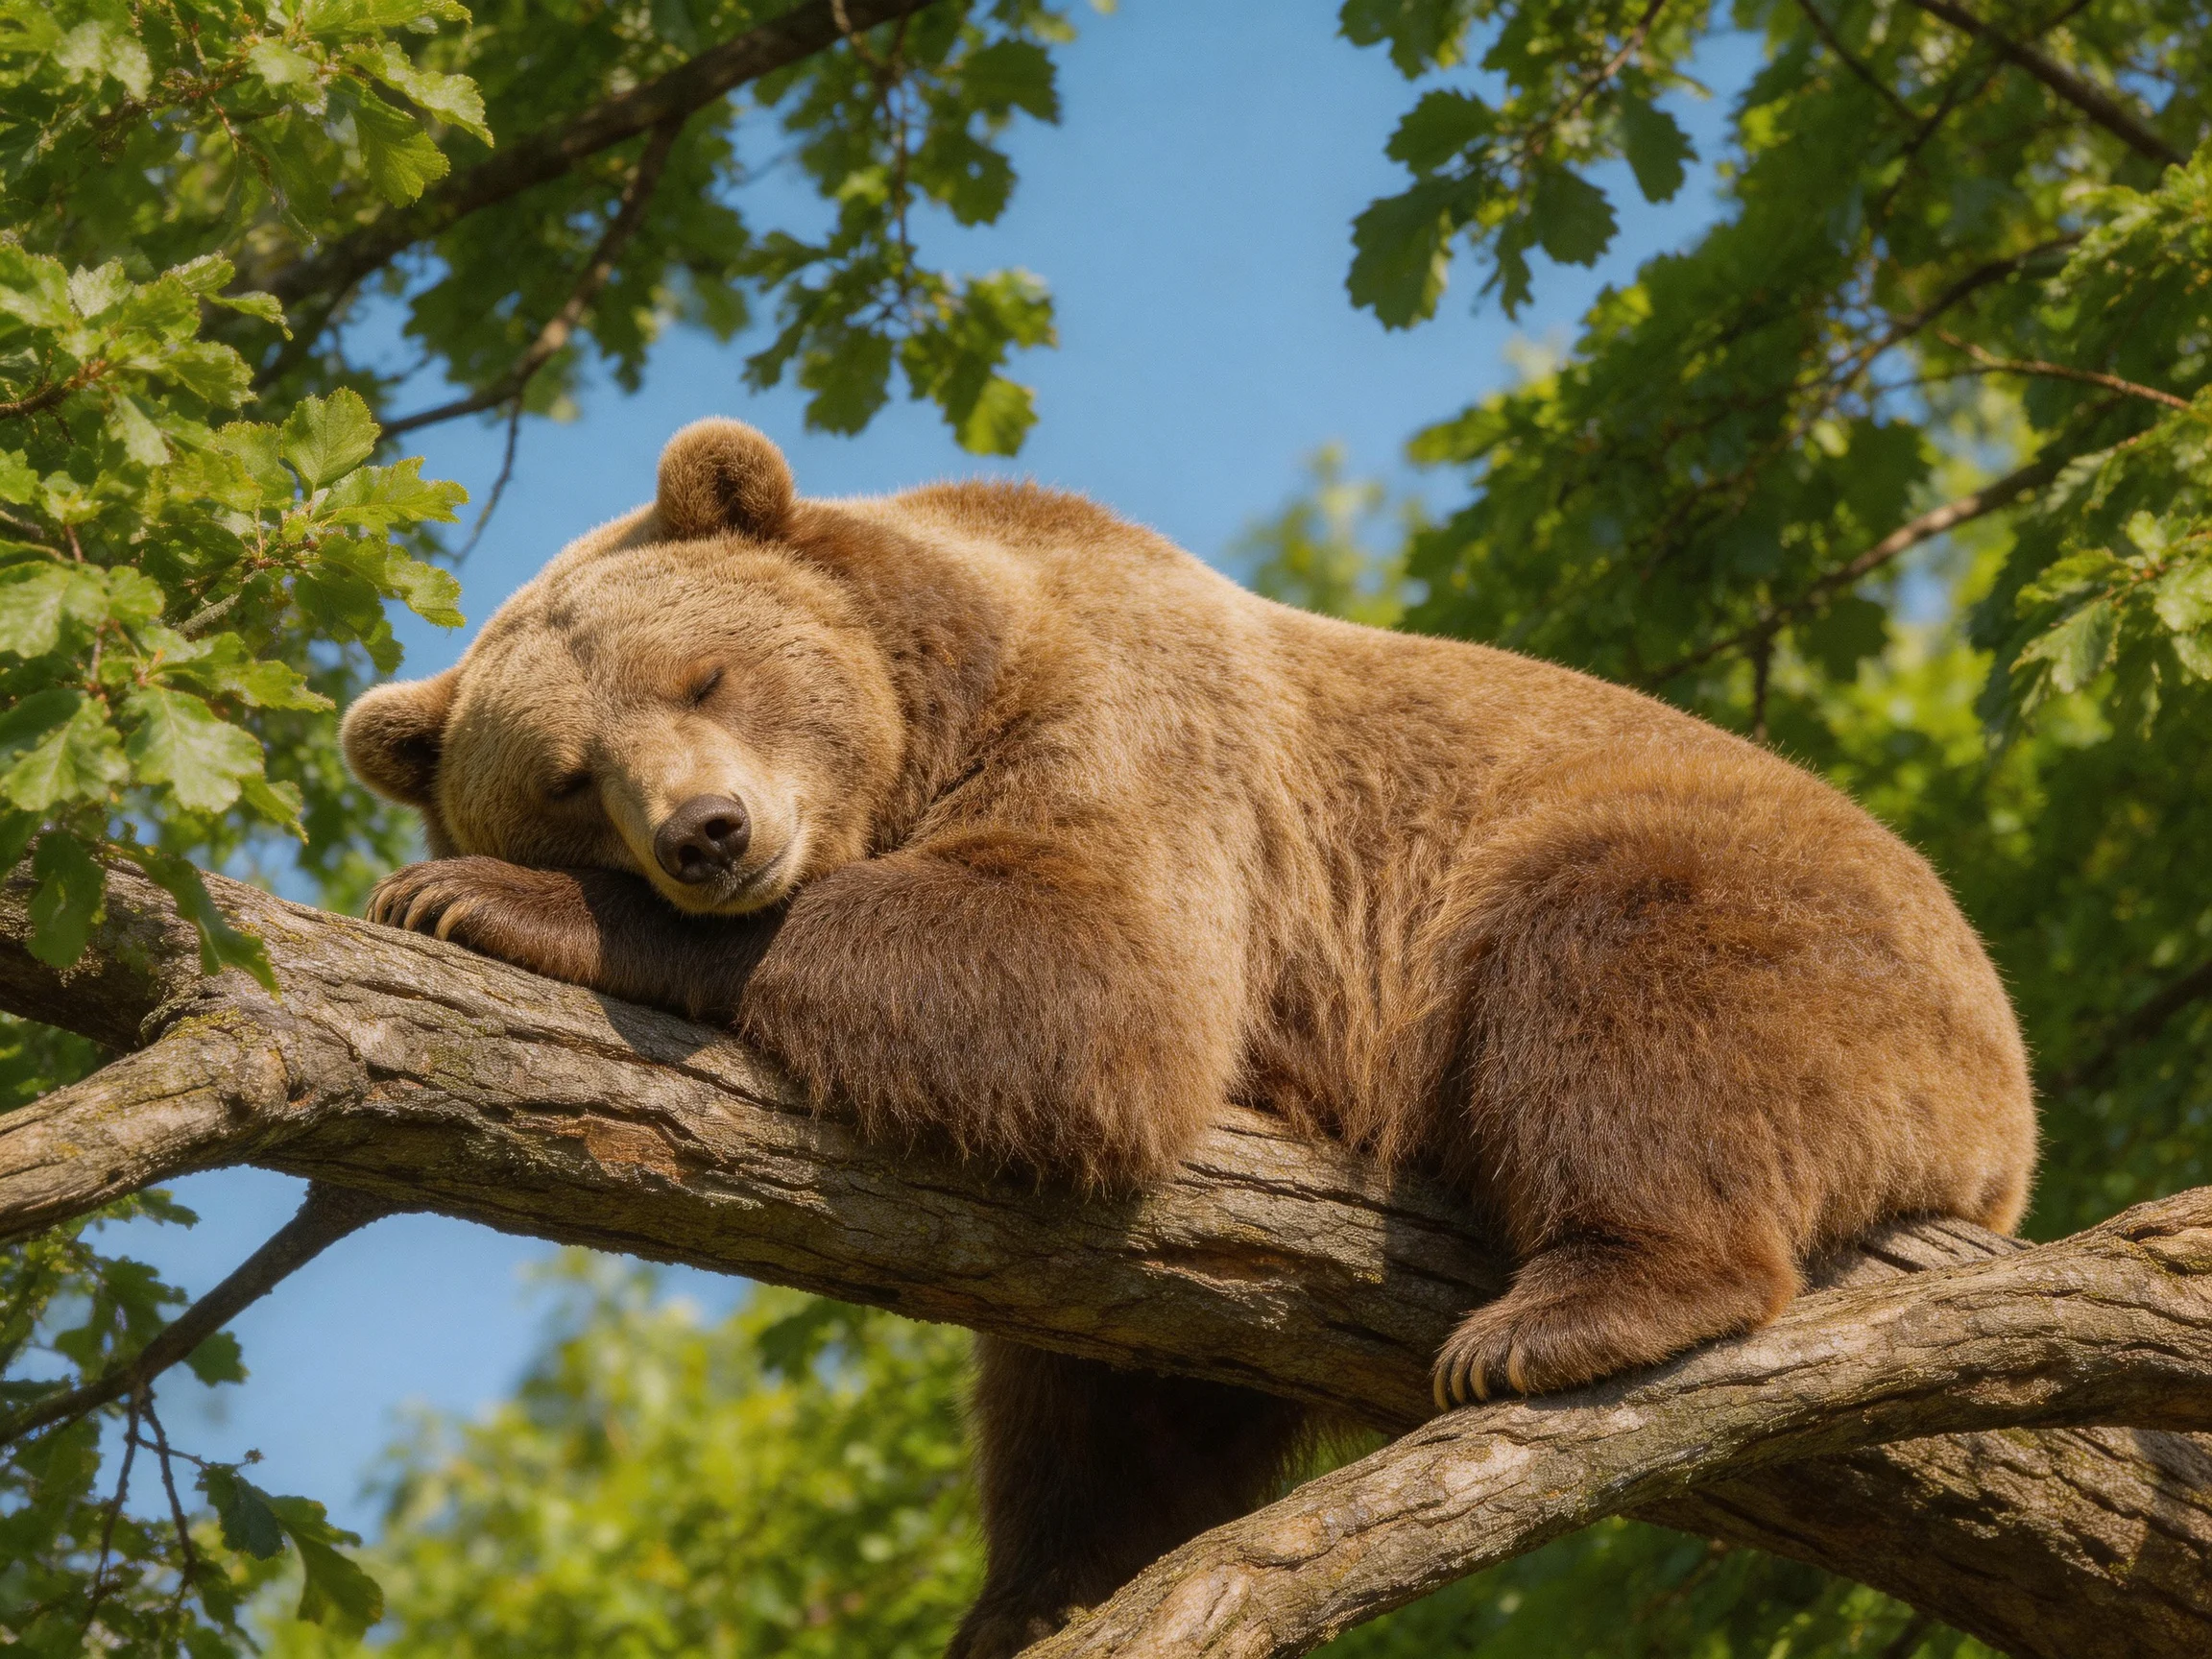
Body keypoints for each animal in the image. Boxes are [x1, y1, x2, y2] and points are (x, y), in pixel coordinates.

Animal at [343, 418, 2036, 1655]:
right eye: (568, 772)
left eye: (705, 673)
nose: (708, 833)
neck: (945, 685)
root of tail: (2007, 1110)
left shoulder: (1138, 733)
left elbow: (1092, 984)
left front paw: (478, 897)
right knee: (1096, 1402)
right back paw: (1039, 1596)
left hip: (1757, 918)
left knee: (1625, 1002)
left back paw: (1573, 1313)